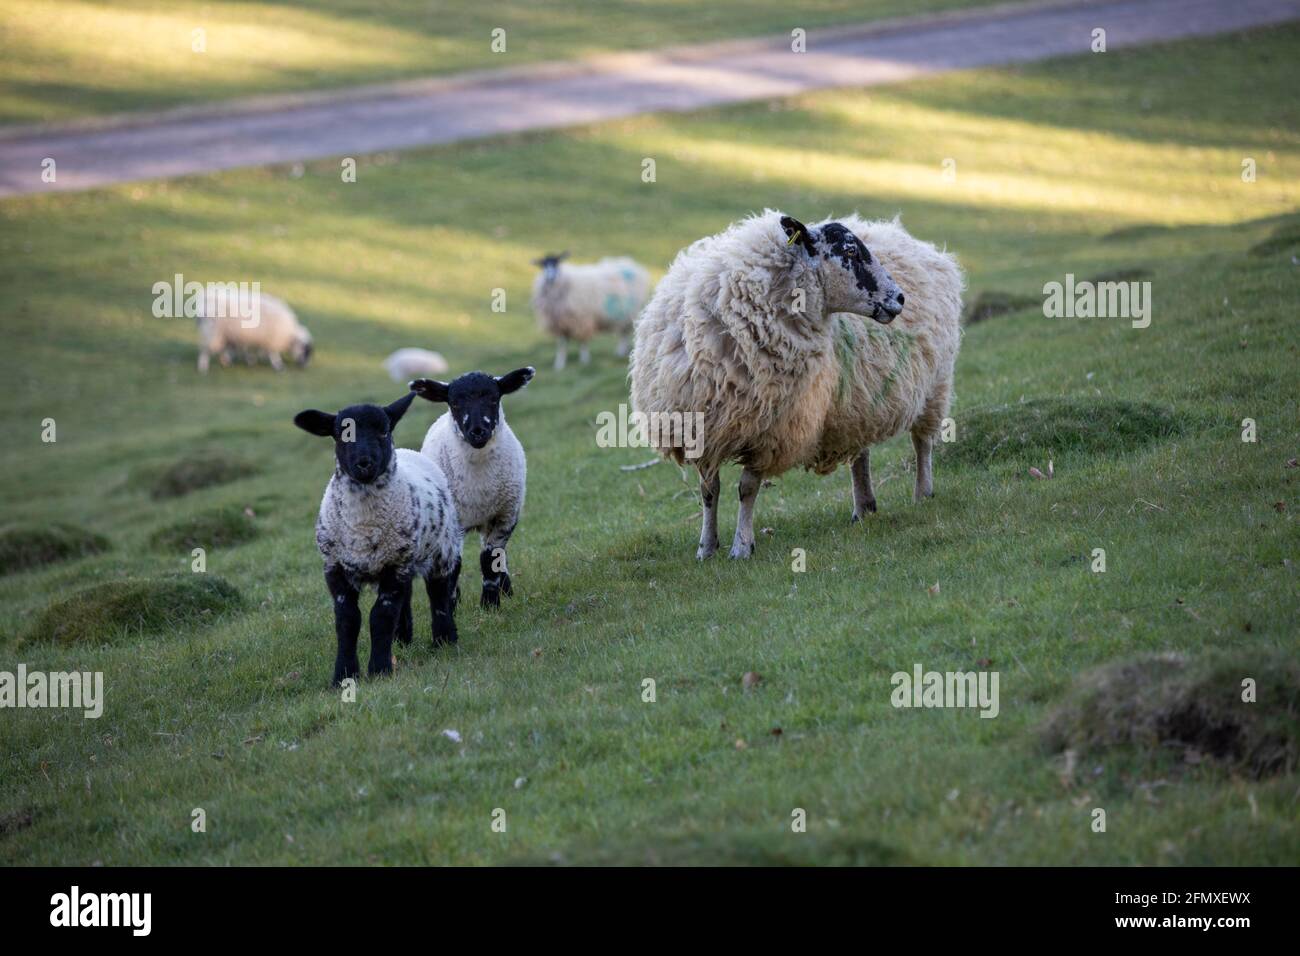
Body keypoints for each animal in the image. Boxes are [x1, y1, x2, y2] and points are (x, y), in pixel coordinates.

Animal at [292, 392, 465, 686]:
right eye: (341, 435)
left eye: (384, 430)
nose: (364, 462)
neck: (363, 525)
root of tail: (409, 451)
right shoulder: (335, 568)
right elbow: (348, 620)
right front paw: (344, 674)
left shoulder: (395, 565)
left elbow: (380, 617)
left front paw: (380, 669)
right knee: (407, 597)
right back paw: (403, 639)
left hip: (441, 548)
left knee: (439, 592)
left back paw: (444, 638)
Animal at [410, 369, 533, 608]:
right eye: (455, 403)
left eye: (494, 398)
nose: (478, 431)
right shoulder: (454, 521)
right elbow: (455, 565)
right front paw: (452, 604)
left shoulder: (506, 516)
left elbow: (491, 559)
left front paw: (490, 604)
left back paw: (506, 590)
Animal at [629, 205, 967, 556]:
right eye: (850, 251)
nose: (899, 298)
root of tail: (920, 244)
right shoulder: (701, 428)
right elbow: (709, 490)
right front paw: (706, 548)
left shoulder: (770, 432)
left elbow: (747, 489)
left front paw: (742, 546)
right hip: (857, 399)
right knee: (860, 453)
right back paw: (863, 508)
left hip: (936, 385)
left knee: (922, 442)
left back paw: (922, 493)